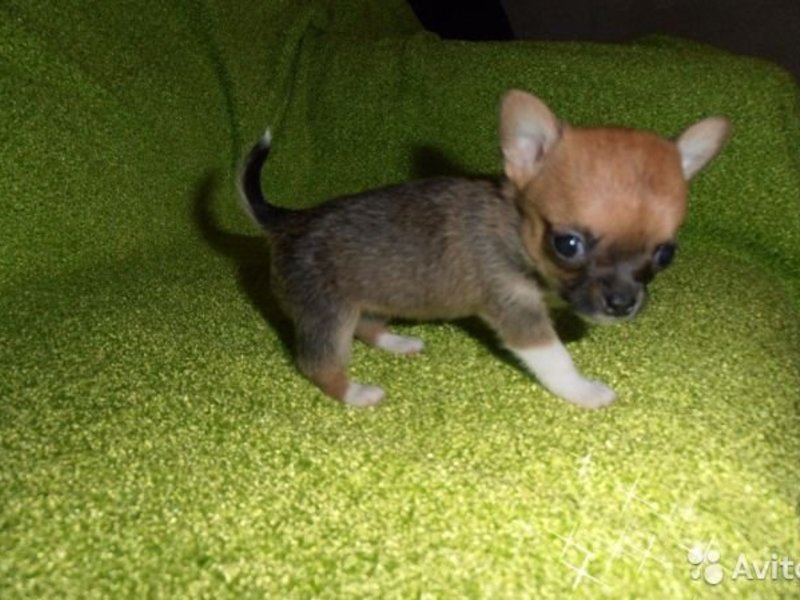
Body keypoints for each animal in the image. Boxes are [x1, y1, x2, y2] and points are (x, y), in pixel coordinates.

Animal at [237, 90, 729, 408]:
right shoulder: (518, 314)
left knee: (368, 326)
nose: (623, 304)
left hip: (367, 297)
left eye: (666, 255)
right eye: (567, 244)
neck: (515, 229)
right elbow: (556, 360)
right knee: (316, 364)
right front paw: (584, 391)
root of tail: (288, 219)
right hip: (327, 314)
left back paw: (397, 341)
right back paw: (355, 393)